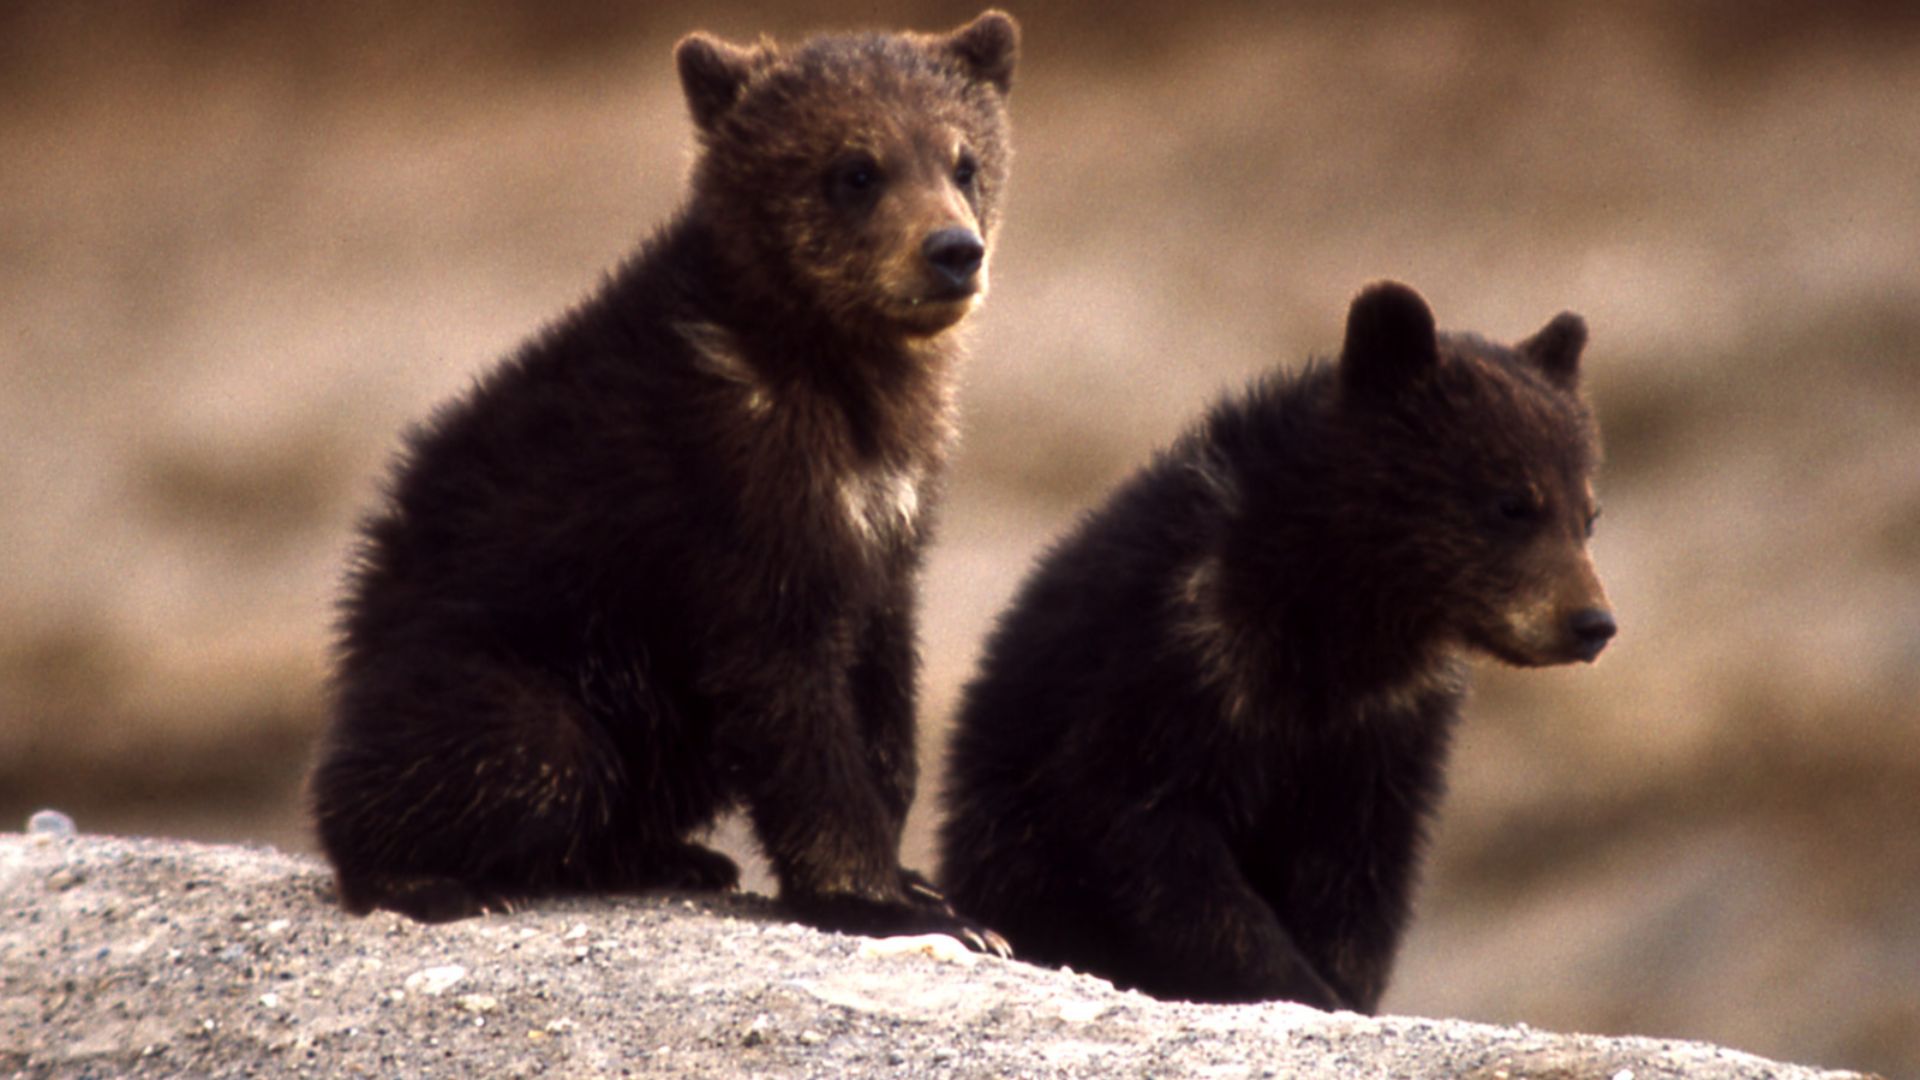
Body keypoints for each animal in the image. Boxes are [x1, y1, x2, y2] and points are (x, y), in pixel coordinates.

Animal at [307, 11, 1019, 954]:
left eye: (964, 160)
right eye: (855, 169)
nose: (952, 251)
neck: (838, 373)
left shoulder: (888, 512)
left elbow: (882, 679)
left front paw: (921, 882)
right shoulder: (732, 500)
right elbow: (788, 697)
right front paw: (888, 901)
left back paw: (671, 855)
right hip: (501, 660)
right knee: (531, 747)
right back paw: (427, 877)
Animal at [937, 281, 1615, 1008]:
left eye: (1588, 514)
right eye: (1513, 502)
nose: (1592, 623)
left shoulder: (1383, 732)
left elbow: (1359, 879)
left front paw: (1340, 984)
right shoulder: (1163, 674)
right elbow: (1151, 843)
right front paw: (1296, 982)